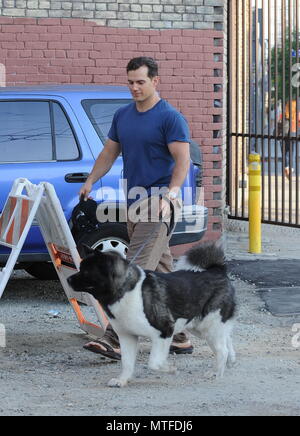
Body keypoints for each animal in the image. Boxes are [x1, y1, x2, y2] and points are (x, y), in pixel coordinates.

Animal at [68, 242, 237, 388]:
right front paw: (122, 380)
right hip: (200, 327)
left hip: (209, 326)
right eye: (80, 268)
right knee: (226, 339)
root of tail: (217, 271)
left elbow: (154, 363)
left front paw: (170, 369)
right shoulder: (127, 336)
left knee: (222, 350)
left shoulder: (164, 331)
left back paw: (216, 373)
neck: (126, 290)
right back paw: (231, 360)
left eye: (86, 271)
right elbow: (127, 362)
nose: (68, 279)